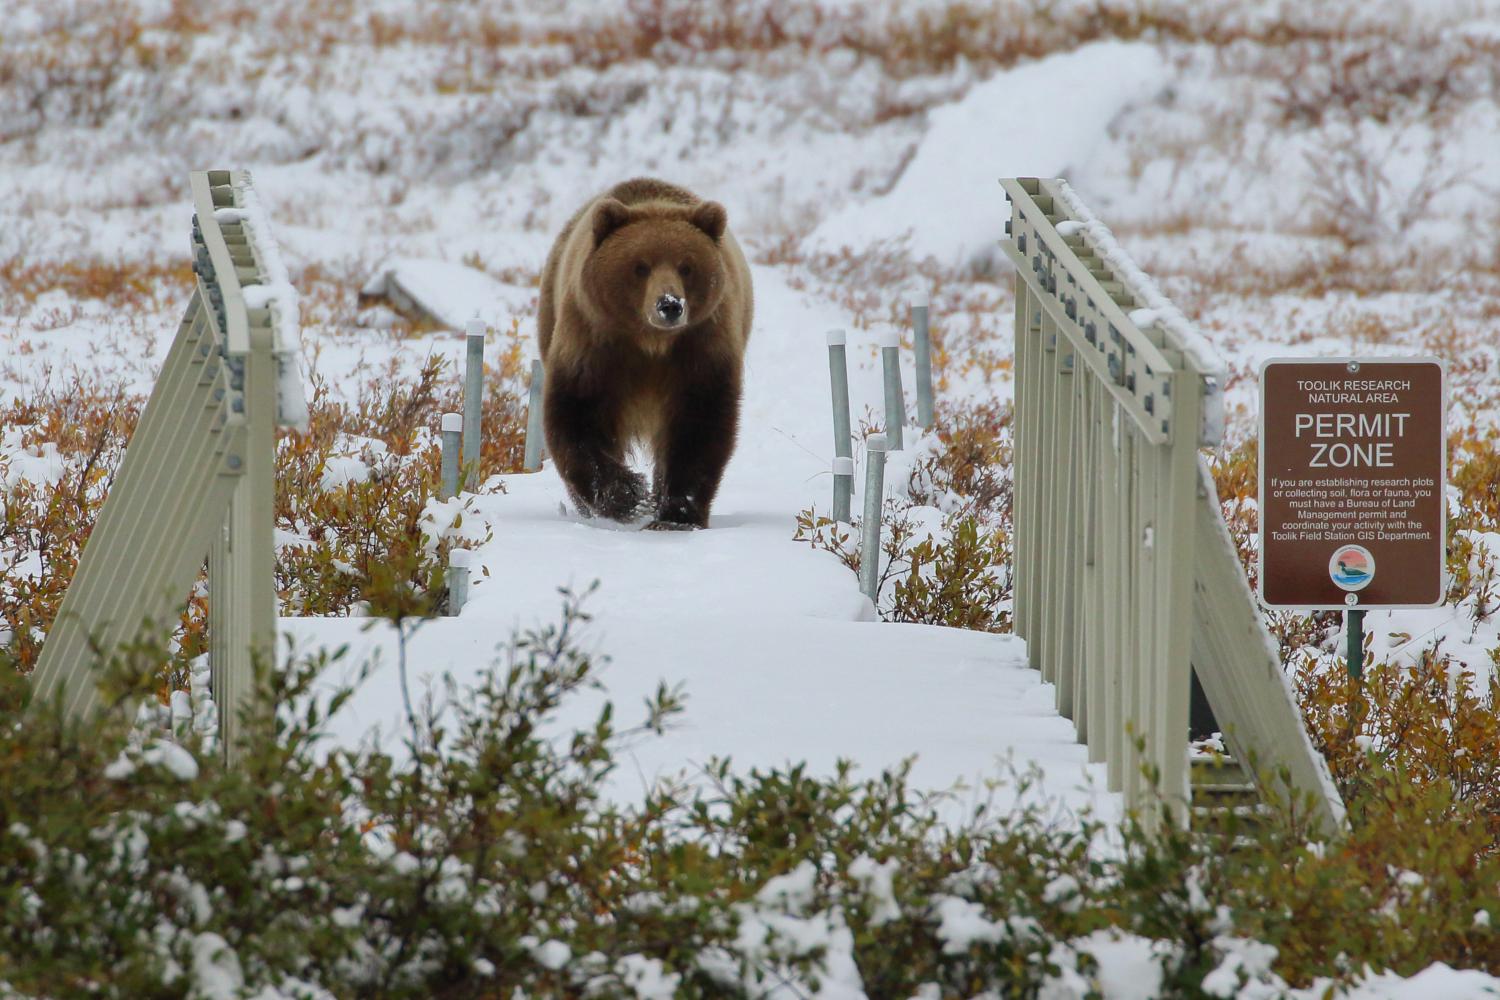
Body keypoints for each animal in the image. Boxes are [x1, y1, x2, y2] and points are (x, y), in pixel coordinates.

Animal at [537, 177, 753, 530]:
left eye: (686, 266)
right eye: (640, 266)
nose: (670, 305)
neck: (650, 343)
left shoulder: (701, 348)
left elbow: (700, 424)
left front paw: (676, 513)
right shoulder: (593, 343)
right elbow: (577, 414)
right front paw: (628, 496)